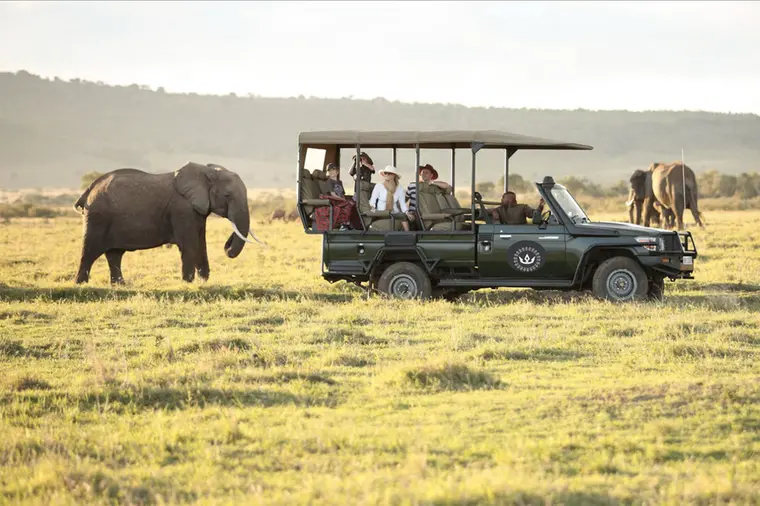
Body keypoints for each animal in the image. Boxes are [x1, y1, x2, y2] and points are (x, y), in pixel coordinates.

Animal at [72, 162, 264, 284]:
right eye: (228, 196)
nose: (228, 245)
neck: (206, 173)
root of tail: (88, 190)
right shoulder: (182, 210)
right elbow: (190, 244)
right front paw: (188, 283)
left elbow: (201, 243)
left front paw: (203, 282)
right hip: (97, 217)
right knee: (89, 251)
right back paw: (80, 284)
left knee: (114, 254)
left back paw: (119, 285)